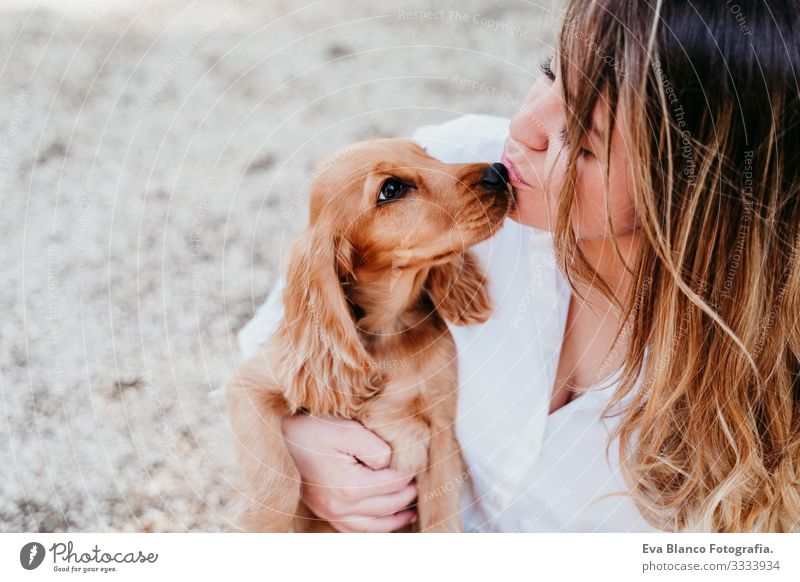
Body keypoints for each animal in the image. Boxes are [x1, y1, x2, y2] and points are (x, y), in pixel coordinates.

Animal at [228, 139, 510, 532]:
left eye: (426, 154)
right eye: (390, 189)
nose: (499, 172)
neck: (389, 332)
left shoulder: (441, 431)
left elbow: (442, 517)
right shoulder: (253, 384)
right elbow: (279, 480)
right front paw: (261, 523)